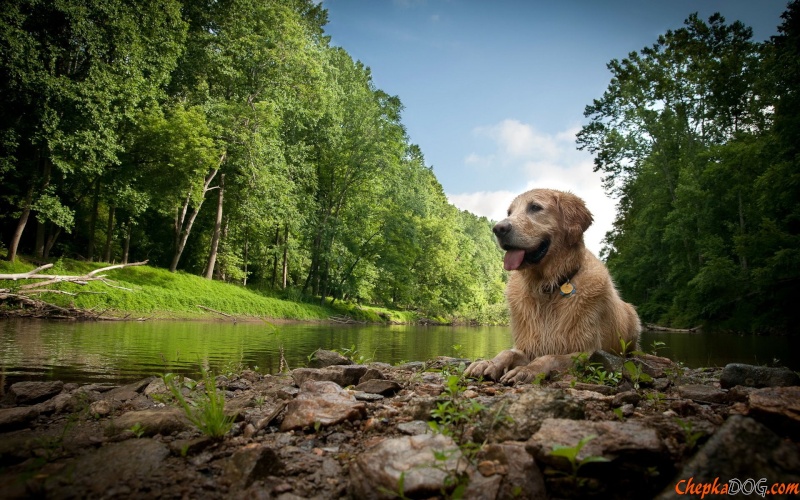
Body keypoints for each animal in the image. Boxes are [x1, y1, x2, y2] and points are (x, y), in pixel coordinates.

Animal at [466, 189, 640, 384]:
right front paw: (487, 363)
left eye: (535, 207)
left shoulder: (587, 351)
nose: (498, 229)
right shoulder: (528, 346)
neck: (547, 287)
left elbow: (550, 357)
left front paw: (526, 370)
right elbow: (506, 352)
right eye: (509, 212)